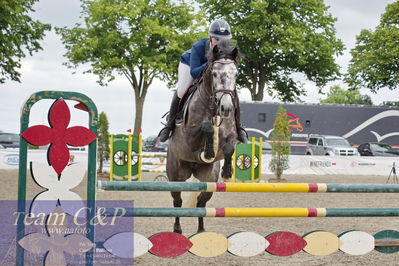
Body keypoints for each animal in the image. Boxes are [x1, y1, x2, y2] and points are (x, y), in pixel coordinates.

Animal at [166, 39, 239, 233]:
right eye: (214, 74)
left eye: (236, 74)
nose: (226, 108)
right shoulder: (191, 136)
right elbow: (206, 128)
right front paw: (207, 152)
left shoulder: (230, 135)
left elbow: (229, 147)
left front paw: (227, 171)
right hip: (176, 175)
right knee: (177, 201)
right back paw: (177, 229)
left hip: (209, 179)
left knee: (201, 202)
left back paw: (201, 231)